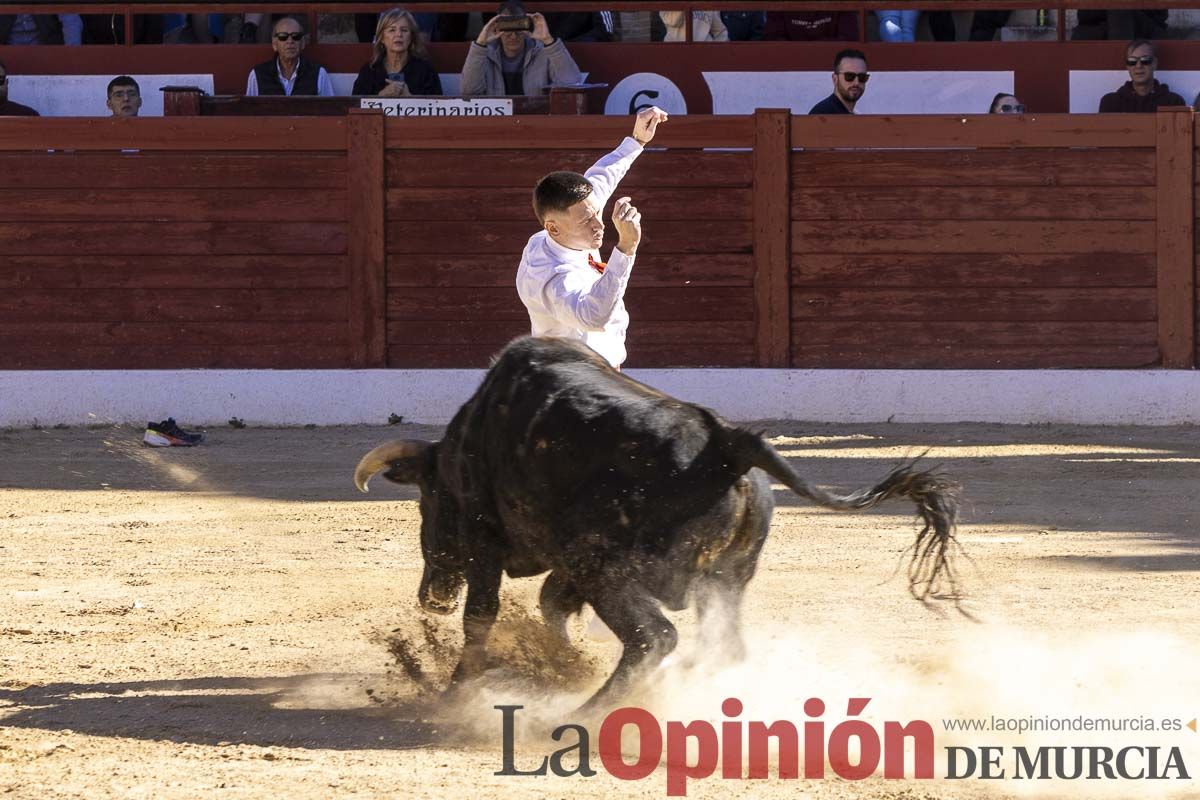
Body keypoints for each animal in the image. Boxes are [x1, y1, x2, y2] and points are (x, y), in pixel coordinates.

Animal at [350, 335, 960, 710]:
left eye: (427, 501)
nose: (431, 597)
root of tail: (729, 445)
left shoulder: (488, 542)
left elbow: (483, 614)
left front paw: (458, 689)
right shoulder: (562, 561)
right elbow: (551, 604)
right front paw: (563, 663)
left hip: (607, 568)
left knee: (654, 637)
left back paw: (586, 713)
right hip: (725, 578)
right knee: (722, 644)